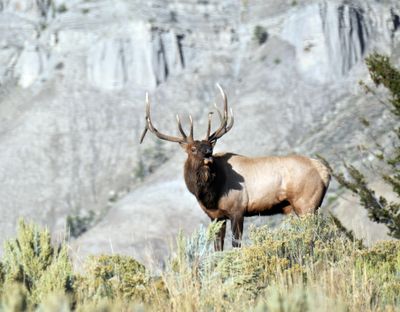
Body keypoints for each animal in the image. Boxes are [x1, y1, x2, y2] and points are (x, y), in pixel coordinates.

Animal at [141, 85, 332, 251]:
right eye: (193, 149)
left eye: (210, 145)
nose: (208, 153)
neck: (211, 194)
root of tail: (324, 171)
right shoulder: (216, 217)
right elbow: (217, 249)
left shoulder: (238, 209)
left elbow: (236, 246)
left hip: (306, 203)